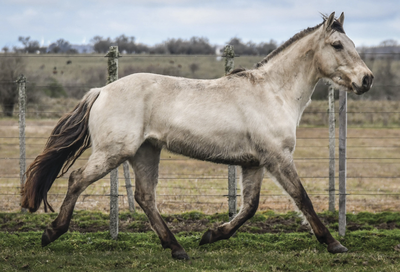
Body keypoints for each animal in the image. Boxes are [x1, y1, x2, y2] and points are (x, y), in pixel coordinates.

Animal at [21, 12, 372, 260]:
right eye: (338, 45)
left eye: (354, 45)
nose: (367, 79)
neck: (273, 92)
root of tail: (101, 90)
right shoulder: (277, 158)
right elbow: (302, 198)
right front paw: (333, 243)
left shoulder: (254, 163)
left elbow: (250, 206)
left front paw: (212, 235)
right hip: (112, 152)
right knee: (77, 180)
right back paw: (52, 233)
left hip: (145, 152)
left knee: (145, 197)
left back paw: (177, 248)